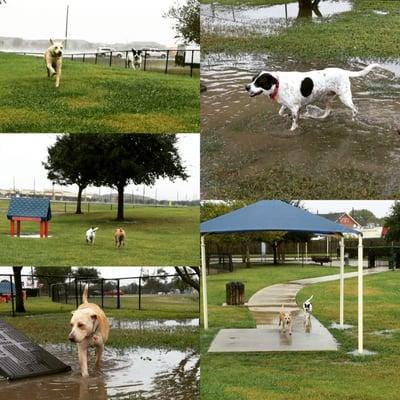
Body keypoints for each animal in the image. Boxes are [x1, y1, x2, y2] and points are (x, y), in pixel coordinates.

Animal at [245, 63, 380, 130]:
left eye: (260, 82)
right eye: (252, 79)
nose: (246, 87)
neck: (278, 84)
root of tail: (344, 71)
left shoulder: (294, 108)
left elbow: (294, 124)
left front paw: (292, 130)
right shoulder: (288, 105)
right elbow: (280, 112)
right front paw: (286, 116)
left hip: (344, 97)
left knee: (355, 109)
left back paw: (353, 120)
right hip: (327, 98)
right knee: (328, 111)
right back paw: (318, 117)